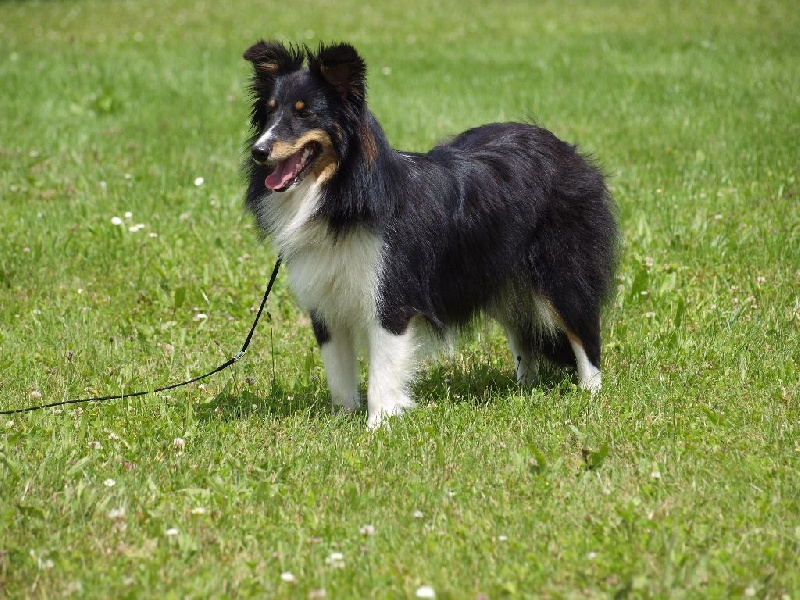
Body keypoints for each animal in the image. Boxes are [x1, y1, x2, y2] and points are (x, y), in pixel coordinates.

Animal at [244, 41, 620, 426]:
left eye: (304, 114)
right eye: (270, 113)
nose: (259, 151)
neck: (341, 197)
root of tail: (566, 150)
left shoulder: (390, 295)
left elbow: (383, 370)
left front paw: (378, 425)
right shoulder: (326, 302)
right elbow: (339, 373)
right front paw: (342, 420)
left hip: (560, 269)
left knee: (583, 331)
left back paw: (590, 392)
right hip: (501, 280)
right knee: (524, 337)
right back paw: (523, 388)